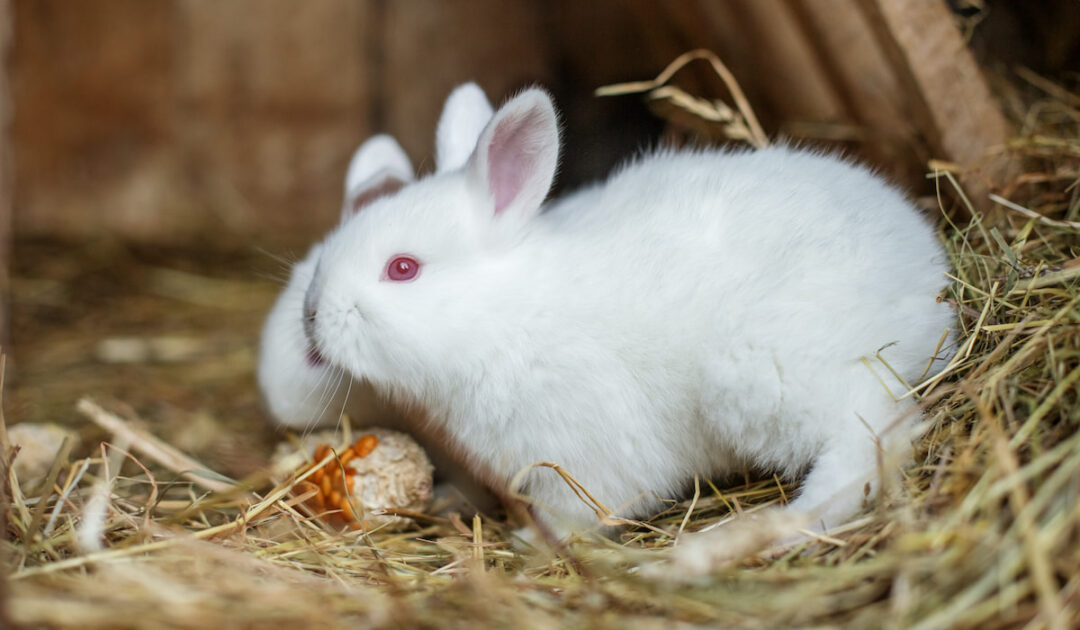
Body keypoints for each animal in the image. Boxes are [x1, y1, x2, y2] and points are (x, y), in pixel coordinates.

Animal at [303, 85, 956, 539]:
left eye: (403, 268)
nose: (313, 316)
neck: (506, 315)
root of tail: (930, 286)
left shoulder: (584, 457)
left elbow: (585, 512)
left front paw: (533, 543)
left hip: (768, 376)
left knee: (870, 439)